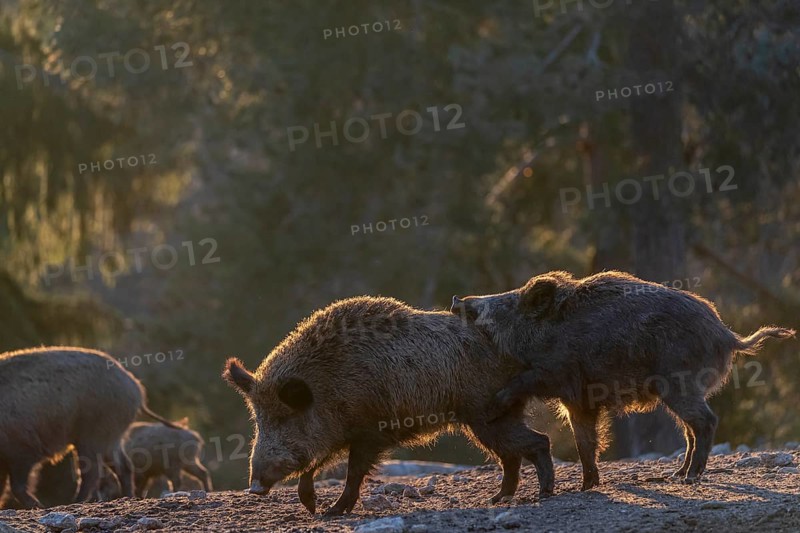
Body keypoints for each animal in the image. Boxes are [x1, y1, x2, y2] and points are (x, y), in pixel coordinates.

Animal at [0, 346, 179, 508]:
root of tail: (136, 388)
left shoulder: (23, 449)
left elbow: (17, 485)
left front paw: (39, 506)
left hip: (93, 435)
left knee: (91, 472)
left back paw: (75, 502)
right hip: (110, 438)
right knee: (123, 466)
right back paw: (127, 497)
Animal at [223, 296, 555, 516]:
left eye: (283, 418)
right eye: (258, 421)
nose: (255, 488)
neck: (328, 383)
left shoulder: (370, 432)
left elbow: (353, 471)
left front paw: (331, 511)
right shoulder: (341, 432)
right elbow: (318, 462)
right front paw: (313, 507)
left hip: (486, 414)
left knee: (537, 441)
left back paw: (544, 493)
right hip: (489, 418)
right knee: (511, 455)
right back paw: (498, 499)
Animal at [450, 270, 795, 490]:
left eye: (504, 305)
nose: (457, 299)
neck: (547, 333)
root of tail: (728, 336)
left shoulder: (557, 373)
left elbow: (526, 383)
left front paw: (494, 406)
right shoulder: (578, 399)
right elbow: (584, 441)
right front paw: (586, 486)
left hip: (679, 383)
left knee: (706, 421)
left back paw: (690, 477)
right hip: (682, 390)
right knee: (690, 431)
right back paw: (675, 474)